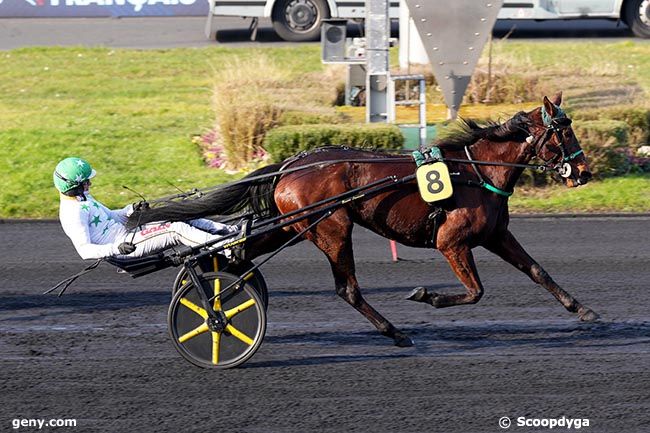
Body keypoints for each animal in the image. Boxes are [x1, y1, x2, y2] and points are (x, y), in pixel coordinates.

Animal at [130, 93, 596, 346]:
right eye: (564, 131)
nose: (585, 170)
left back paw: (213, 286)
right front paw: (427, 295)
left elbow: (537, 271)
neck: (476, 170)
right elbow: (475, 291)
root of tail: (292, 165)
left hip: (292, 226)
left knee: (239, 252)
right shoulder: (451, 242)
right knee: (347, 289)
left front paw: (584, 310)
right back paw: (395, 332)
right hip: (331, 227)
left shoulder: (496, 234)